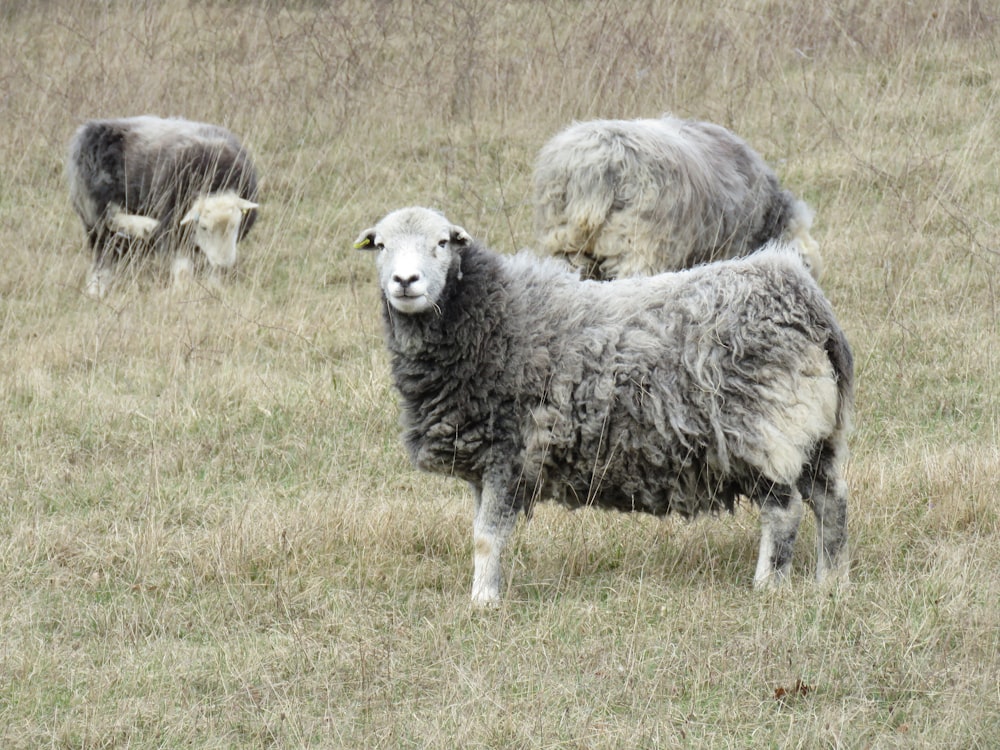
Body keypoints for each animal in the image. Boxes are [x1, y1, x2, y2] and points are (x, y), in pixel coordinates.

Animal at [67, 114, 260, 296]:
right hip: (94, 199)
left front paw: (215, 287)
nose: (224, 265)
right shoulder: (175, 229)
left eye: (236, 224)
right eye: (204, 227)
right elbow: (183, 269)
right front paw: (182, 289)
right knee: (108, 225)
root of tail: (88, 128)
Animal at [356, 209, 856, 608]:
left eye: (442, 243)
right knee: (831, 503)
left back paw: (768, 585)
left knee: (784, 511)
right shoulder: (487, 463)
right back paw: (831, 581)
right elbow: (484, 534)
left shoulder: (507, 452)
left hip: (762, 431)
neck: (491, 318)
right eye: (380, 244)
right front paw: (488, 591)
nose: (405, 282)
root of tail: (797, 293)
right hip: (814, 432)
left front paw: (482, 603)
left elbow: (486, 536)